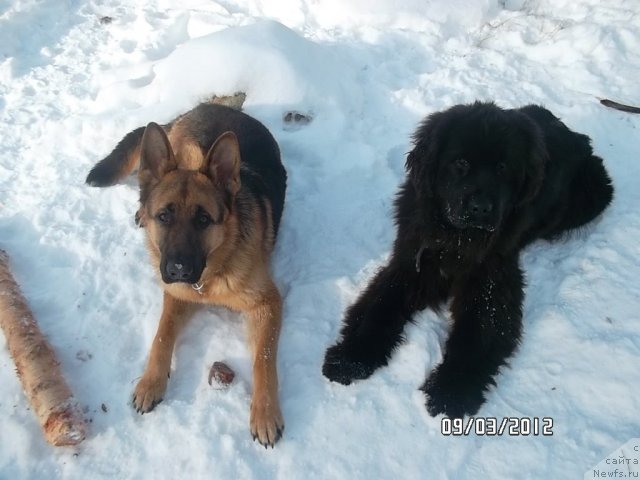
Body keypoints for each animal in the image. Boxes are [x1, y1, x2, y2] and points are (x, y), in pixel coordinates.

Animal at [86, 100, 286, 446]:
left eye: (203, 220)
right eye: (164, 217)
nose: (178, 269)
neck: (212, 278)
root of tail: (205, 106)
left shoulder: (267, 304)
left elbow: (263, 359)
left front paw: (265, 413)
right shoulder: (175, 296)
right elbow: (161, 335)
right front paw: (151, 382)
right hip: (187, 149)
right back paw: (140, 210)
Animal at [322, 103, 612, 418]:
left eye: (502, 168)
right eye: (460, 163)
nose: (480, 208)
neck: (457, 239)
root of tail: (575, 134)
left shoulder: (491, 282)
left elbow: (478, 333)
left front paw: (450, 392)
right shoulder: (411, 263)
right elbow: (378, 307)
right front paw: (350, 358)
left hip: (595, 194)